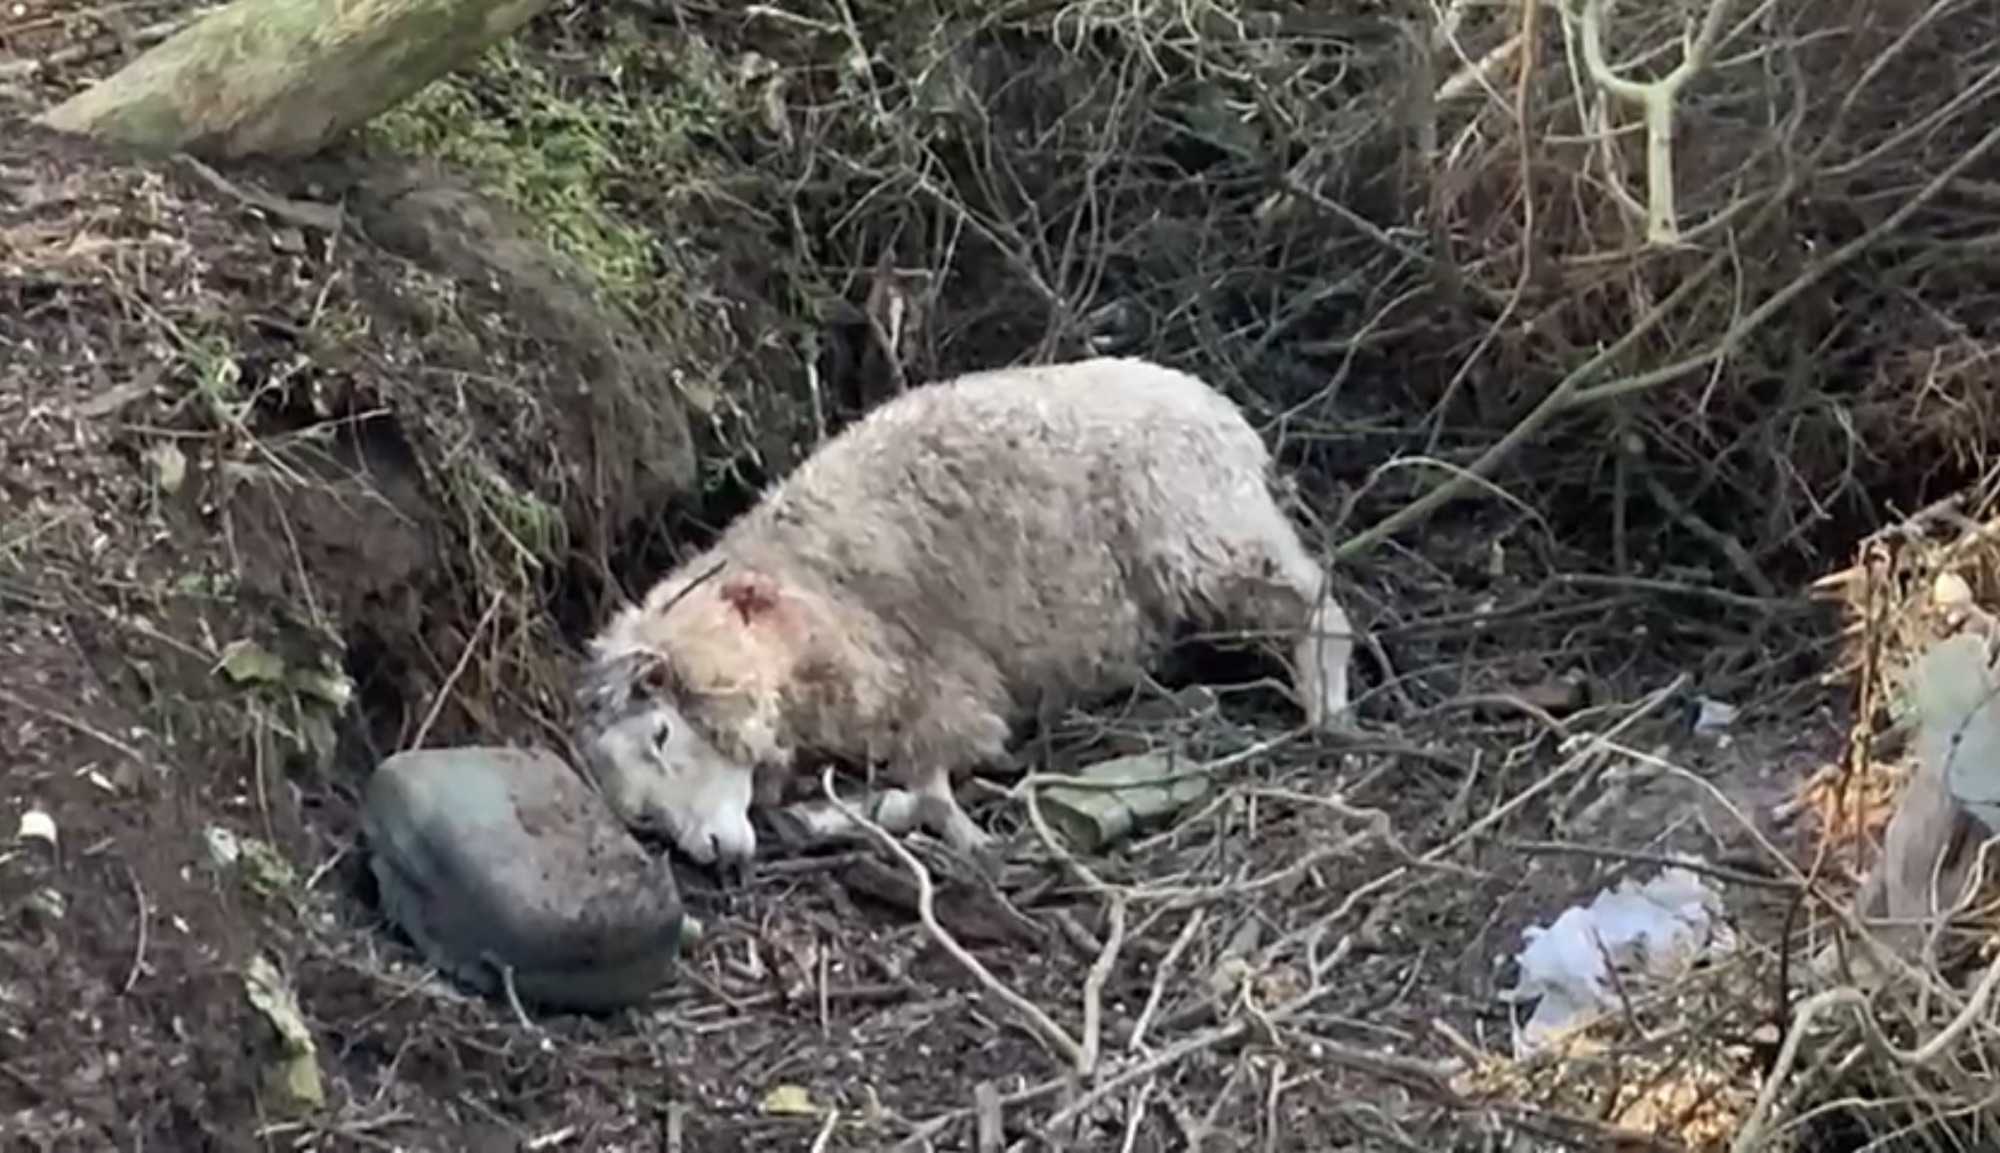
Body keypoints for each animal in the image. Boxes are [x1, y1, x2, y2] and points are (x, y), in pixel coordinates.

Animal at [572, 356, 1355, 866]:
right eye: (640, 813)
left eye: (662, 735)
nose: (710, 852)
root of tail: (1221, 411)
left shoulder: (934, 684)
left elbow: (929, 779)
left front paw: (946, 830)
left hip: (1202, 531)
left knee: (1317, 602)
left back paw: (1328, 707)